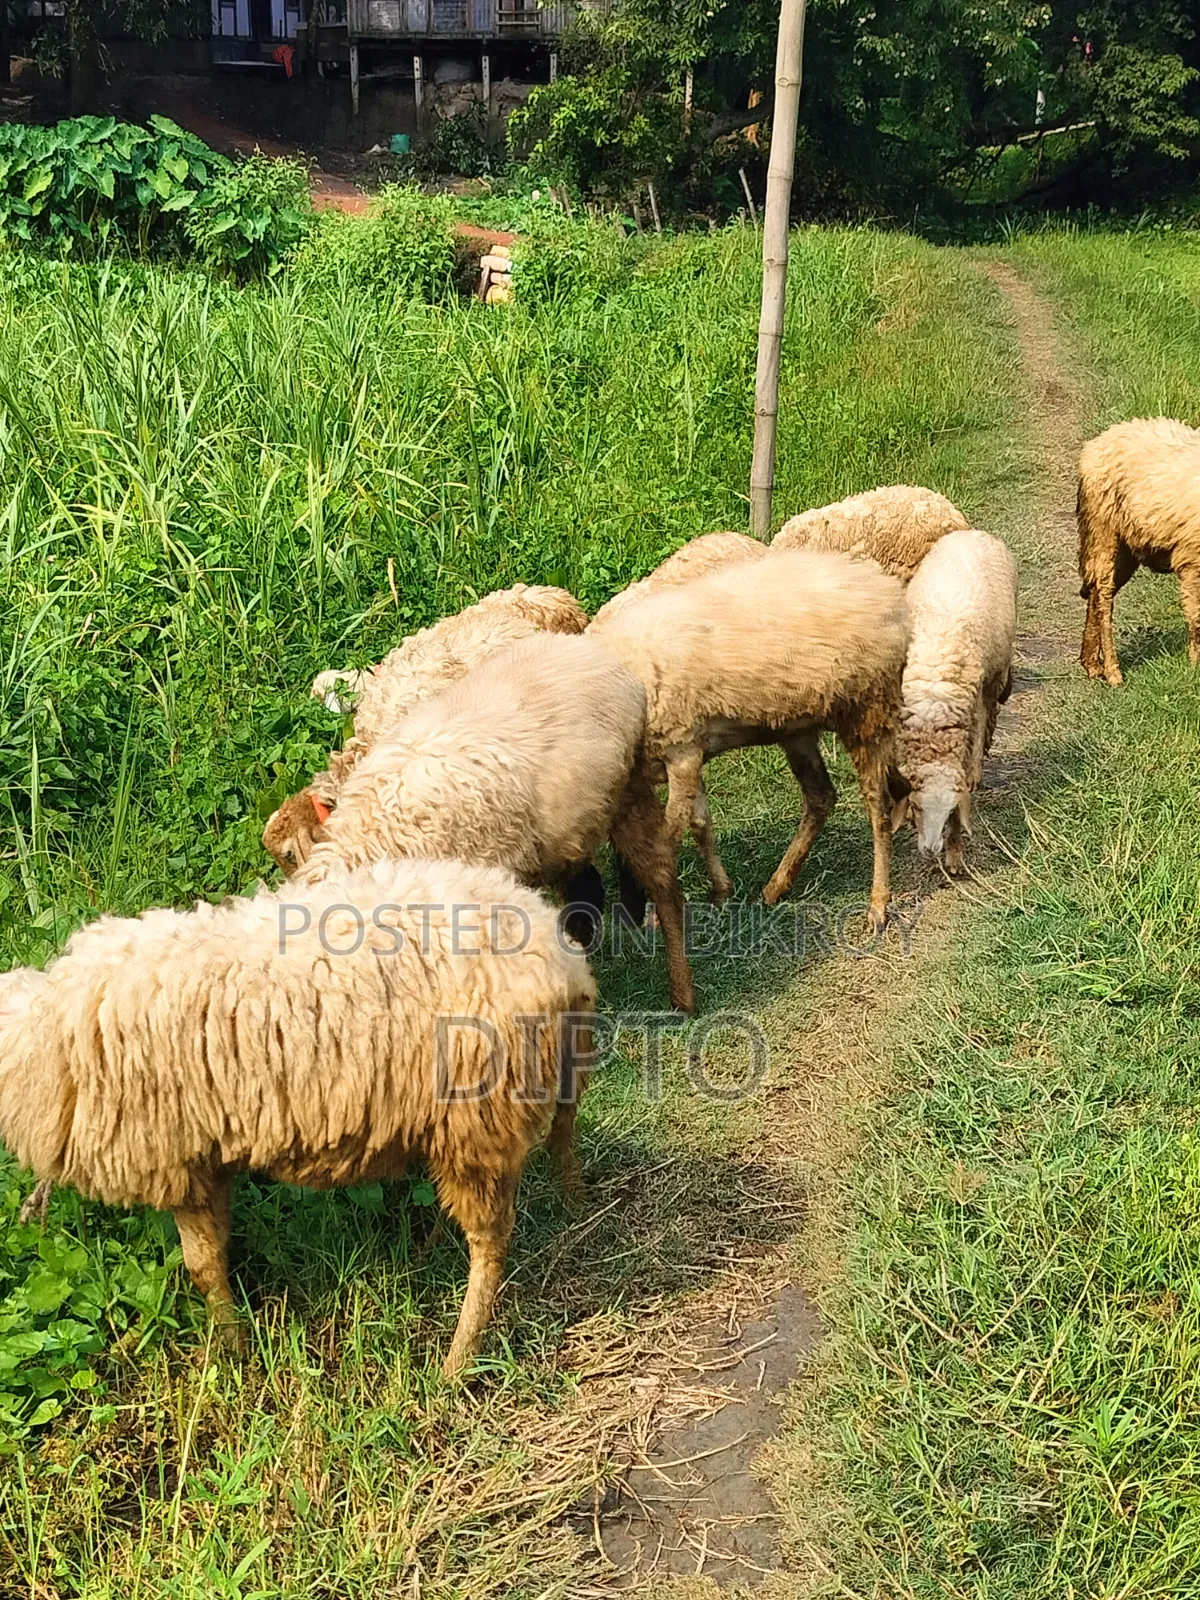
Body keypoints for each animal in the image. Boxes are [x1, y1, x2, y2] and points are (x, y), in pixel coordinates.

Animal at [0, 858, 596, 1378]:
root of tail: (560, 953)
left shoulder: (177, 1160)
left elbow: (201, 1265)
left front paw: (229, 1352)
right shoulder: (207, 1158)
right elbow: (215, 1253)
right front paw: (234, 1341)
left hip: (478, 1117)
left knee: (490, 1242)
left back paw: (459, 1357)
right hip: (515, 1096)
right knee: (561, 1137)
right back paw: (567, 1204)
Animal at [292, 633, 698, 1014]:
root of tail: (584, 648)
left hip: (628, 792)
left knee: (662, 881)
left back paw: (683, 996)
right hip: (566, 832)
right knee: (584, 891)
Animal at [588, 549, 910, 931]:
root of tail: (888, 591)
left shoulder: (681, 750)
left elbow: (668, 836)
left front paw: (658, 910)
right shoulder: (690, 752)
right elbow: (700, 823)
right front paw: (721, 891)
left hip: (865, 708)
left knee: (877, 807)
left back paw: (878, 903)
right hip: (805, 725)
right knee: (825, 796)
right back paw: (777, 886)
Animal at [890, 529, 1018, 873]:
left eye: (950, 813)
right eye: (917, 807)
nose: (931, 849)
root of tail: (974, 533)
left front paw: (955, 854)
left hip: (992, 675)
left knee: (987, 714)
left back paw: (975, 771)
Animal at [1076, 418, 1200, 686]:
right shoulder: (1191, 560)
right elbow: (1196, 617)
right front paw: (1196, 666)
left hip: (1126, 549)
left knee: (1096, 592)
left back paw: (1091, 664)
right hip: (1103, 527)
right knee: (1103, 597)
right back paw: (1113, 672)